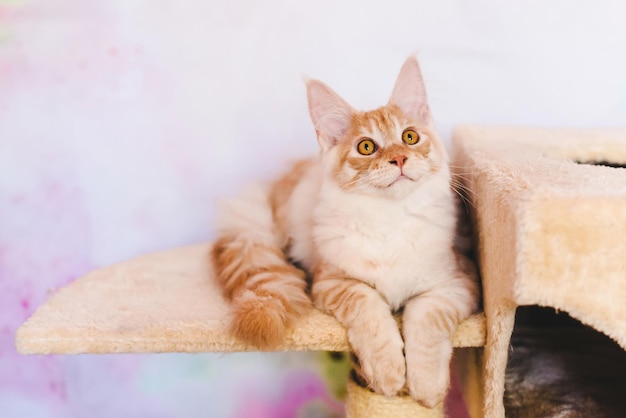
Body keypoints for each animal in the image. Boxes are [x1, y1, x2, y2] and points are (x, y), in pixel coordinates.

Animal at [210, 56, 478, 408]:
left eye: (409, 137)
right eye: (366, 147)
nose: (399, 158)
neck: (390, 218)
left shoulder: (458, 282)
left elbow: (427, 321)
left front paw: (427, 387)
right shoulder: (334, 281)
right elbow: (369, 309)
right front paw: (388, 373)